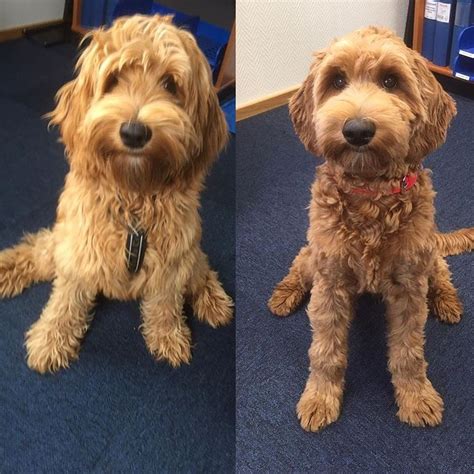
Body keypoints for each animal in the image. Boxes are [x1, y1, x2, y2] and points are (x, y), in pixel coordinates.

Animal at [0, 14, 233, 374]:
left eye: (170, 84)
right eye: (113, 80)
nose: (134, 132)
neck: (134, 195)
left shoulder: (171, 260)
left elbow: (165, 303)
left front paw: (168, 336)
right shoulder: (79, 249)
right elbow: (65, 300)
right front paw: (52, 338)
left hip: (190, 248)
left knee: (200, 268)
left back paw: (212, 297)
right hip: (61, 241)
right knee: (38, 249)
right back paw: (6, 268)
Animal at [268, 26, 472, 434]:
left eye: (391, 81)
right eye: (337, 81)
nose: (357, 130)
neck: (370, 196)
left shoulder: (410, 285)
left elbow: (409, 351)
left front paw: (416, 397)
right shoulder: (329, 281)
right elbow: (325, 350)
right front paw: (319, 397)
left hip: (428, 257)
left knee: (443, 273)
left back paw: (447, 302)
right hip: (313, 257)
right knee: (299, 263)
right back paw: (284, 294)